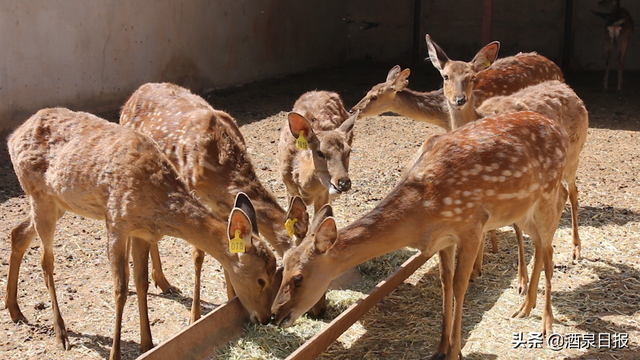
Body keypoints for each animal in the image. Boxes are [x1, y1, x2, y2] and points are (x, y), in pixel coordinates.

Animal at [5, 107, 278, 360]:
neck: (156, 203)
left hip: (56, 202)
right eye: (260, 279)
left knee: (18, 232)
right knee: (45, 261)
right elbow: (120, 289)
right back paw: (60, 333)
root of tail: (12, 137)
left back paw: (14, 310)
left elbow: (142, 282)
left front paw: (148, 344)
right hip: (40, 196)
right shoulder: (117, 222)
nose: (266, 317)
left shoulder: (142, 233)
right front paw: (116, 353)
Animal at [120, 82, 310, 324]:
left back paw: (163, 282)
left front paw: (231, 299)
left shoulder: (224, 206)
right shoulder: (194, 193)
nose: (316, 309)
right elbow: (199, 256)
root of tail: (133, 95)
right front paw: (195, 316)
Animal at [270, 110, 568, 360]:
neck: (422, 212)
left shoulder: (472, 225)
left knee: (550, 247)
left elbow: (460, 287)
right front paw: (440, 348)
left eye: (299, 278)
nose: (274, 315)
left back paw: (546, 324)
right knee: (540, 244)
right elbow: (445, 283)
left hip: (547, 193)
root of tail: (558, 127)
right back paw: (525, 307)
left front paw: (455, 352)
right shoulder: (444, 239)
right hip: (523, 210)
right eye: (281, 269)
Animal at [428, 35, 588, 290]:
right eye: (445, 76)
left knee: (572, 191)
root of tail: (569, 89)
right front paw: (477, 269)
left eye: (472, 77)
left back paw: (575, 250)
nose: (459, 99)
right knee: (564, 193)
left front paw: (521, 279)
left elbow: (515, 225)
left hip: (574, 151)